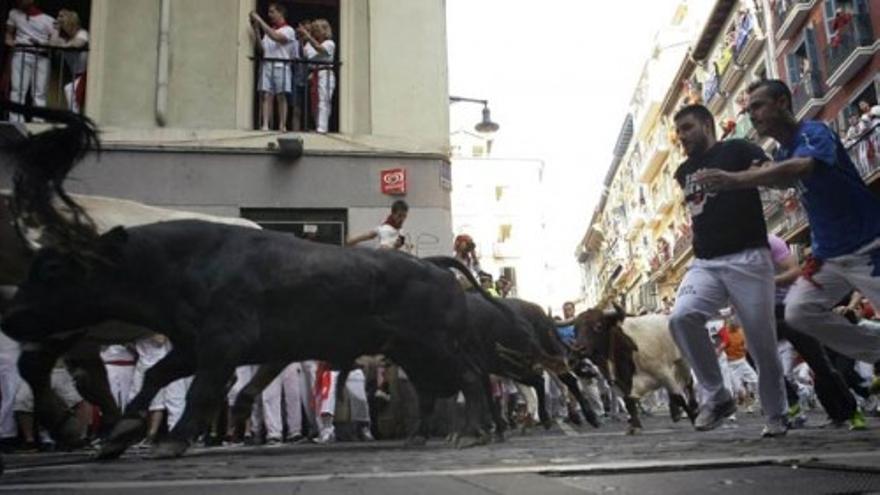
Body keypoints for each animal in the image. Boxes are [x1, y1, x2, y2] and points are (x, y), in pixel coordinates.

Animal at [0, 223, 496, 460]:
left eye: (52, 269)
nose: (10, 315)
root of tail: (435, 267)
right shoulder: (190, 346)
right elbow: (157, 375)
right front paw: (120, 433)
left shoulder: (221, 346)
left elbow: (199, 393)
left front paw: (169, 441)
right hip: (413, 352)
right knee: (433, 391)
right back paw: (423, 436)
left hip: (436, 346)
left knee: (472, 378)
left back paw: (470, 433)